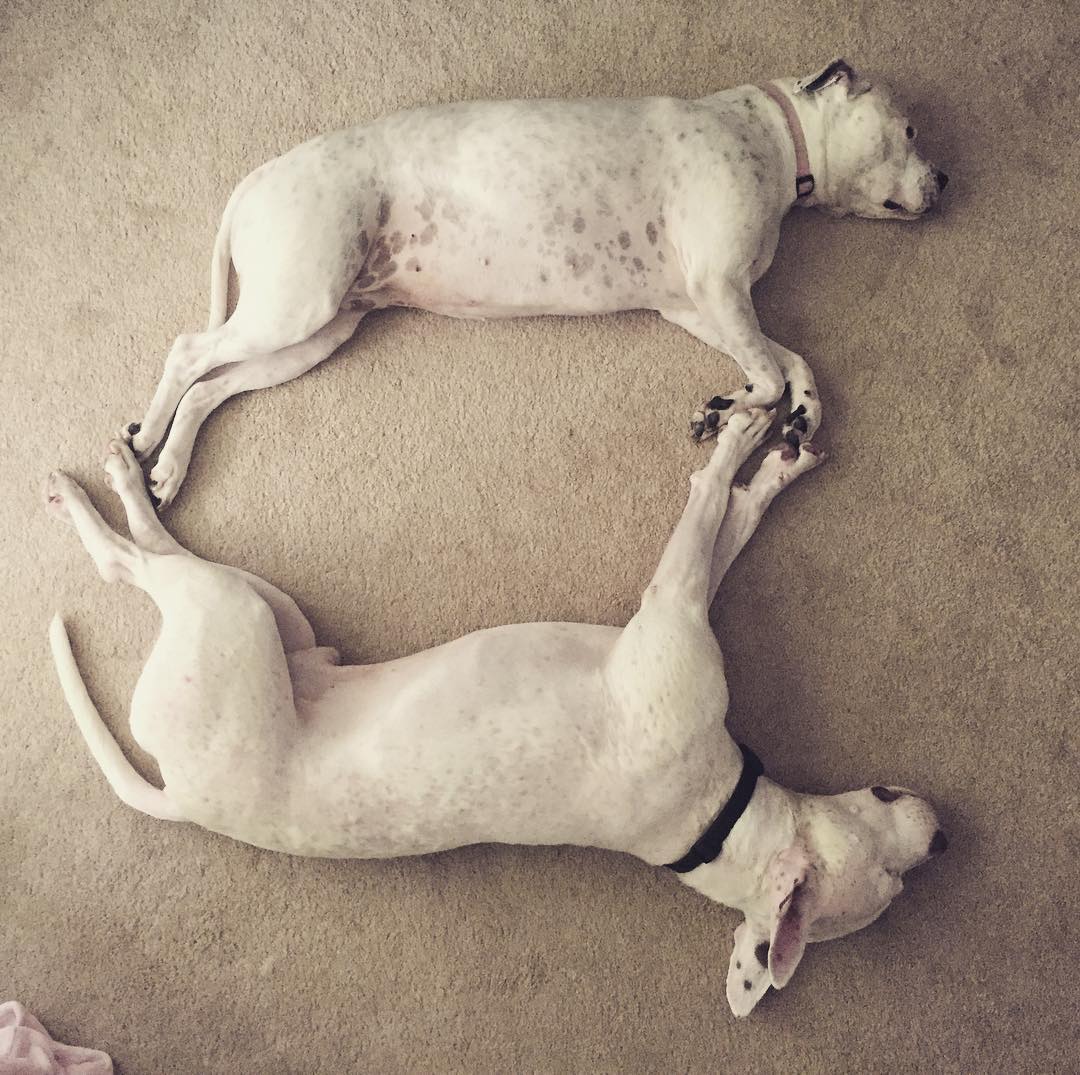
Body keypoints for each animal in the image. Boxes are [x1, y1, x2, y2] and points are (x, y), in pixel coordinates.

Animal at [48, 421, 946, 1015]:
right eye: (893, 863)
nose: (944, 838)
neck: (717, 820)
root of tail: (179, 794)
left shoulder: (673, 610)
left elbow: (715, 512)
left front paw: (751, 450)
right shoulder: (674, 605)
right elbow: (724, 512)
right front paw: (762, 457)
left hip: (248, 616)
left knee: (137, 563)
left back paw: (99, 492)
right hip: (268, 614)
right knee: (144, 559)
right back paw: (112, 482)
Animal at [120, 61, 946, 505]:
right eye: (909, 130)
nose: (946, 178)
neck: (773, 138)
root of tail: (255, 180)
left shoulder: (699, 304)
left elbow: (790, 360)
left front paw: (779, 410)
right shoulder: (718, 289)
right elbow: (772, 370)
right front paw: (733, 408)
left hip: (312, 331)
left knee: (214, 386)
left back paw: (168, 468)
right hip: (298, 301)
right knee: (189, 351)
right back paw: (147, 437)